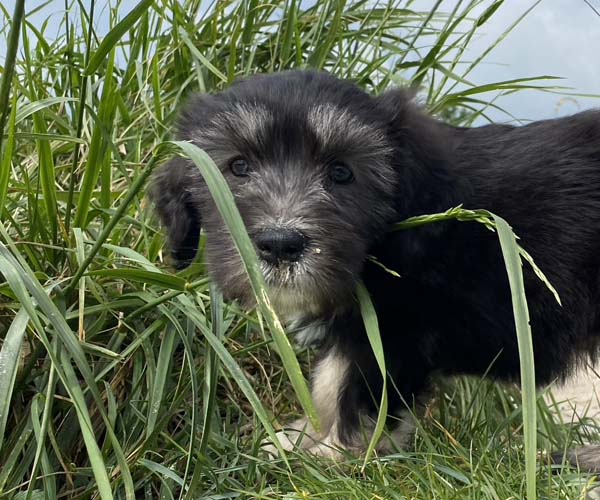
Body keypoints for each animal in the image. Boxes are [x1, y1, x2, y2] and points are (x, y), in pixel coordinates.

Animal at [151, 70, 600, 466]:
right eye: (238, 167)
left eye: (342, 172)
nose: (280, 245)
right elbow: (329, 381)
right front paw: (302, 438)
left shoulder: (395, 329)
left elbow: (353, 387)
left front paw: (333, 454)